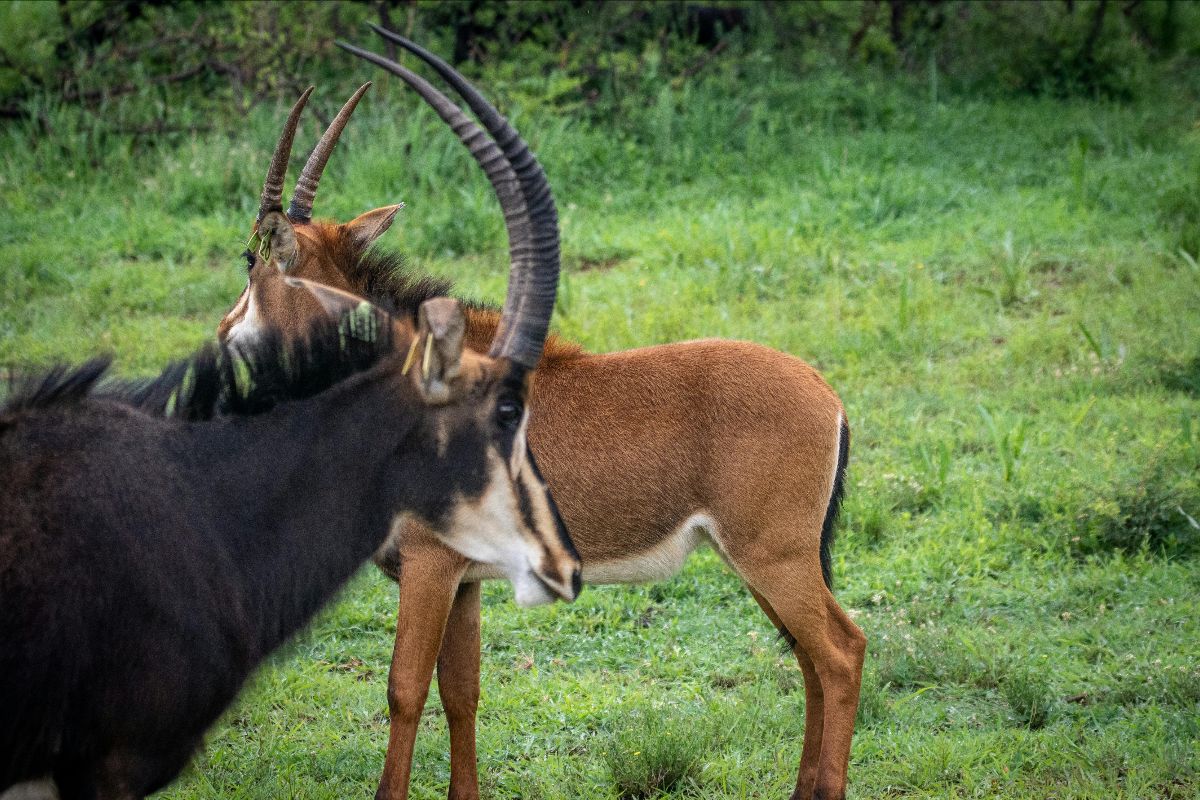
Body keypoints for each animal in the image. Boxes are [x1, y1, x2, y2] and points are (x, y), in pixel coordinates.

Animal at [217, 30, 865, 800]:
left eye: (252, 262)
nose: (223, 333)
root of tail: (828, 398)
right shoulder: (464, 579)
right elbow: (461, 692)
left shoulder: (429, 566)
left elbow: (404, 690)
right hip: (761, 561)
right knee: (808, 657)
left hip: (775, 556)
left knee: (840, 652)